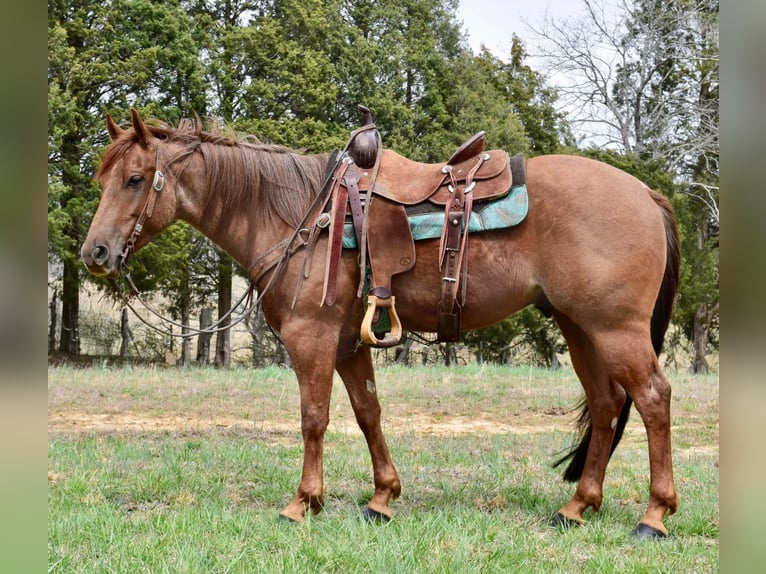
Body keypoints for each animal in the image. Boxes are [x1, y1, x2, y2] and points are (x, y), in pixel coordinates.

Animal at [82, 109, 684, 540]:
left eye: (135, 179)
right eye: (101, 179)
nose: (96, 253)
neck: (302, 215)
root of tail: (646, 193)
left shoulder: (311, 338)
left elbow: (314, 418)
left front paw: (302, 502)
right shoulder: (349, 344)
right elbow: (368, 413)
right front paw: (381, 498)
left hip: (615, 330)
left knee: (652, 399)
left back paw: (653, 516)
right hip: (581, 328)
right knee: (607, 406)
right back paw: (577, 506)